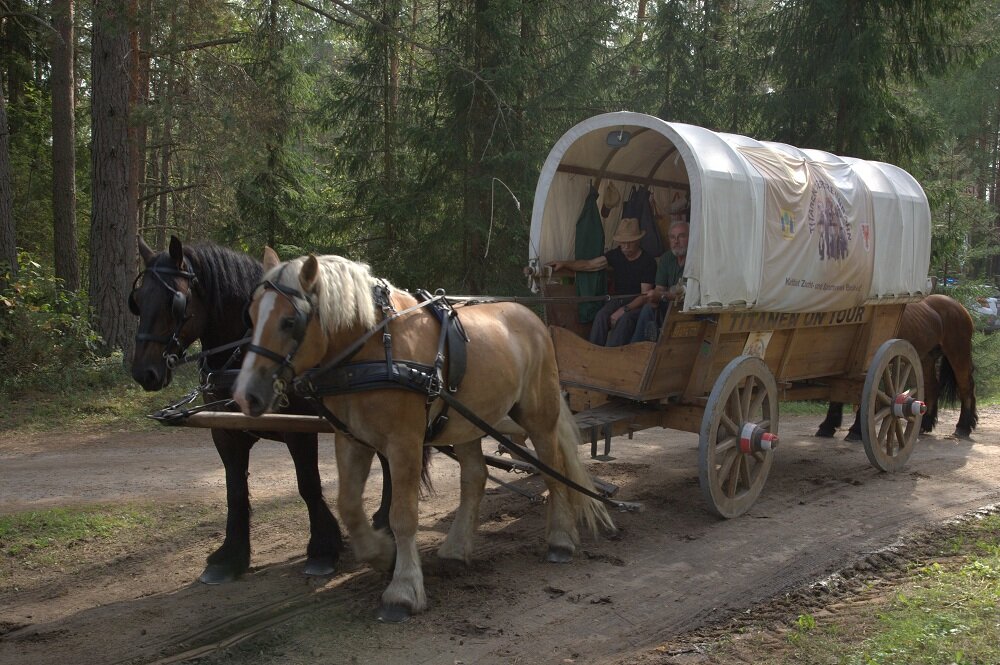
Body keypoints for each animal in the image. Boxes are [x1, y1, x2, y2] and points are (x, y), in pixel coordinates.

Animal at [236, 250, 608, 624]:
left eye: (289, 321)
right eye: (250, 315)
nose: (244, 395)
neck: (374, 348)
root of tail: (532, 318)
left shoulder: (405, 443)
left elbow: (403, 515)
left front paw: (402, 590)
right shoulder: (352, 440)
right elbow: (349, 506)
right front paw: (381, 554)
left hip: (538, 416)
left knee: (552, 470)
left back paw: (560, 540)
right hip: (467, 422)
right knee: (475, 478)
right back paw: (456, 550)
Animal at [812, 294, 976, 438]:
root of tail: (958, 306)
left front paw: (857, 431)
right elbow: (838, 391)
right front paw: (827, 426)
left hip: (958, 353)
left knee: (965, 388)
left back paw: (963, 427)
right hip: (926, 358)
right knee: (932, 387)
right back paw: (924, 424)